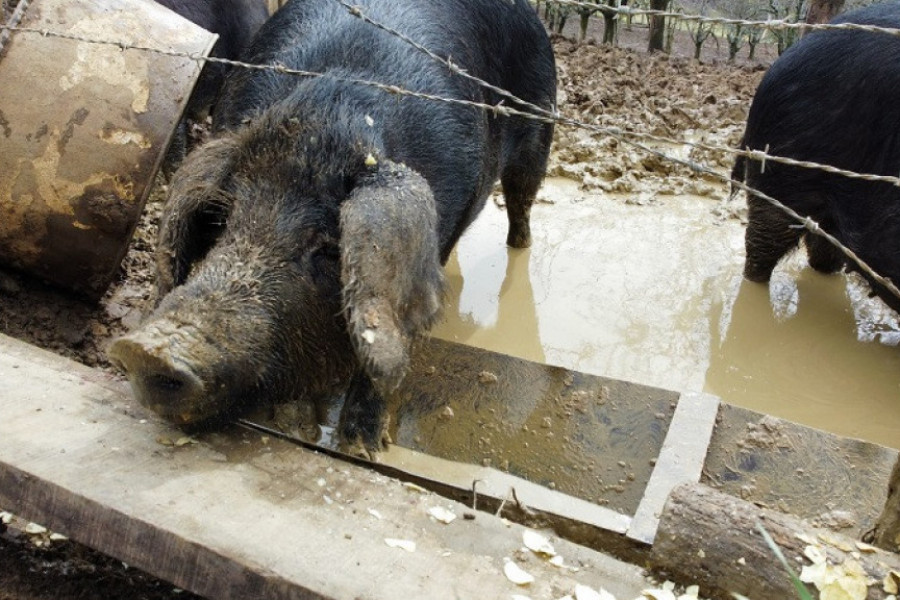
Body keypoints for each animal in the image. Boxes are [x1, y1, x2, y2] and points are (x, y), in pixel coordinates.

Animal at [110, 0, 556, 454]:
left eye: (330, 249)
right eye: (221, 222)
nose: (149, 351)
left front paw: (361, 447)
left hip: (541, 126)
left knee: (521, 205)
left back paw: (520, 246)